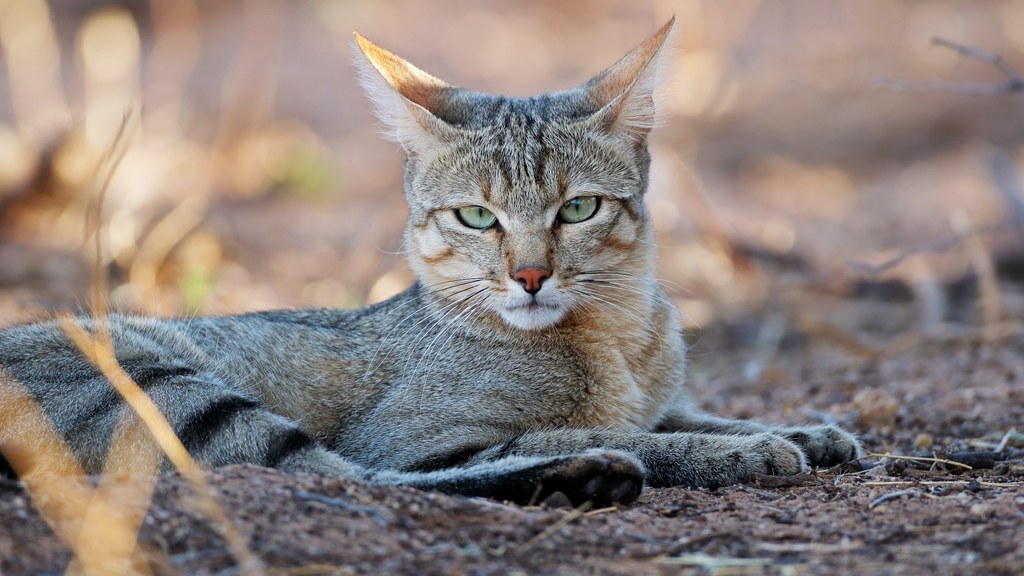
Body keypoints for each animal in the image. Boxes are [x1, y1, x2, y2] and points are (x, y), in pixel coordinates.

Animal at [0, 17, 860, 504]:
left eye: (578, 208)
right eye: (476, 217)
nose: (530, 276)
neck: (618, 338)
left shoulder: (655, 395)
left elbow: (682, 412)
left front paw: (806, 429)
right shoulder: (419, 436)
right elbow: (598, 433)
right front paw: (741, 448)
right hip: (167, 389)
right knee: (342, 478)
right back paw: (586, 478)